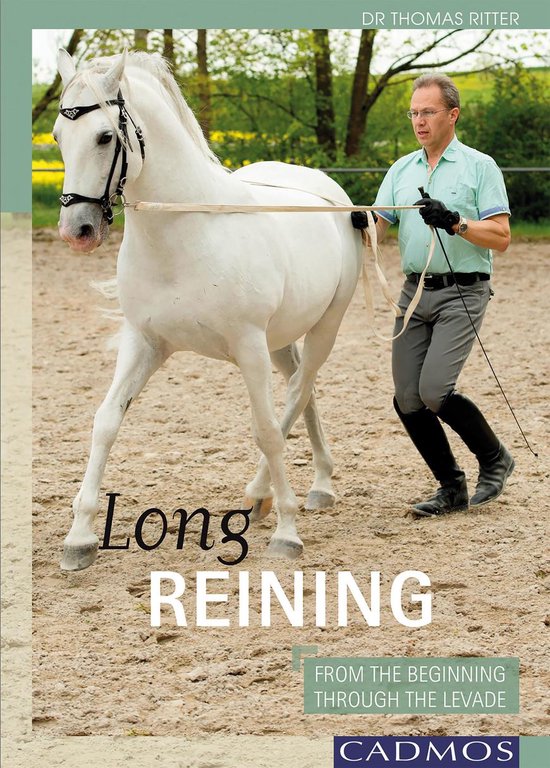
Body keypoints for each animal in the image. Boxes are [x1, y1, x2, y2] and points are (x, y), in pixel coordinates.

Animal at [53, 49, 364, 571]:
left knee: (297, 393)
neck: (185, 230)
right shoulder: (144, 342)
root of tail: (329, 191)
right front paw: (79, 538)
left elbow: (266, 431)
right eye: (58, 136)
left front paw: (287, 533)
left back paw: (275, 494)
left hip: (327, 326)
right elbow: (106, 421)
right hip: (281, 340)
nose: (77, 231)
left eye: (104, 136)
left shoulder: (248, 345)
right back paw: (307, 486)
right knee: (303, 390)